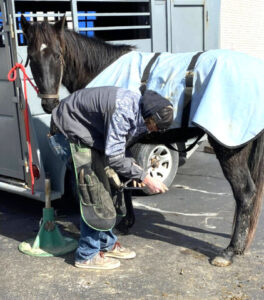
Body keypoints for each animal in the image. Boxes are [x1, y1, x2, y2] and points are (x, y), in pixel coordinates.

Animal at [21, 15, 264, 268]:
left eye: (57, 55)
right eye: (32, 56)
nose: (49, 104)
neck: (102, 68)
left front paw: (120, 222)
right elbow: (125, 181)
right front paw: (127, 220)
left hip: (229, 149)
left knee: (245, 193)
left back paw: (229, 251)